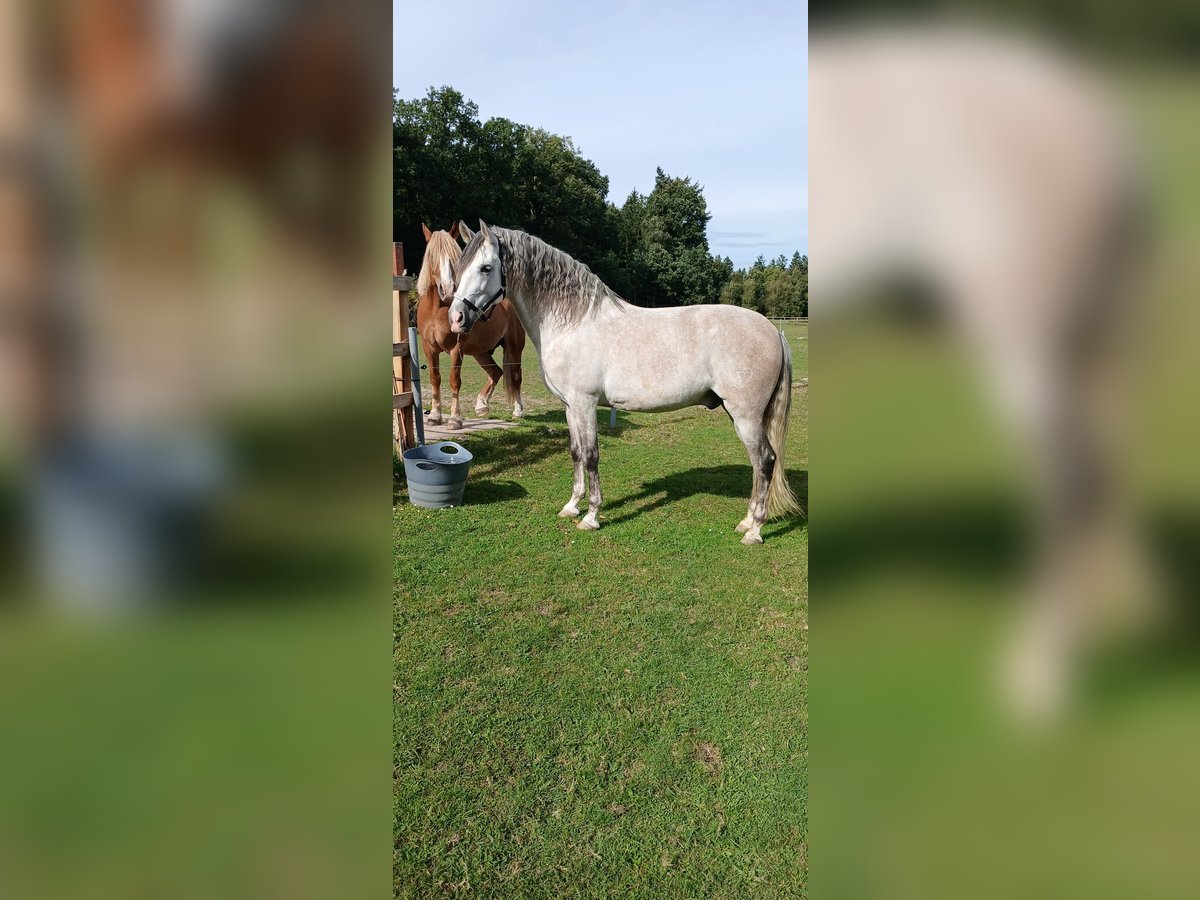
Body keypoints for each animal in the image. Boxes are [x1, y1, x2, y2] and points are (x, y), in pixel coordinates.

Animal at [416, 223, 525, 428]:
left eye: (455, 259)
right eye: (431, 255)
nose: (447, 290)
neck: (437, 310)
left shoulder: (455, 348)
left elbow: (454, 380)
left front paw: (454, 418)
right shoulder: (429, 348)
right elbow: (435, 379)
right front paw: (434, 415)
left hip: (514, 347)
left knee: (515, 376)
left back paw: (518, 410)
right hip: (480, 352)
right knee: (496, 372)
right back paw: (481, 405)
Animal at [449, 221, 800, 544]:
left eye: (486, 267)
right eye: (458, 267)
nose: (456, 319)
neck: (572, 322)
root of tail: (772, 330)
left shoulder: (585, 403)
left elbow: (591, 455)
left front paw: (591, 516)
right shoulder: (570, 406)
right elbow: (575, 452)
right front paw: (571, 506)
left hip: (746, 416)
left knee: (765, 462)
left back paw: (754, 531)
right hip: (740, 415)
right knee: (757, 465)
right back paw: (746, 522)